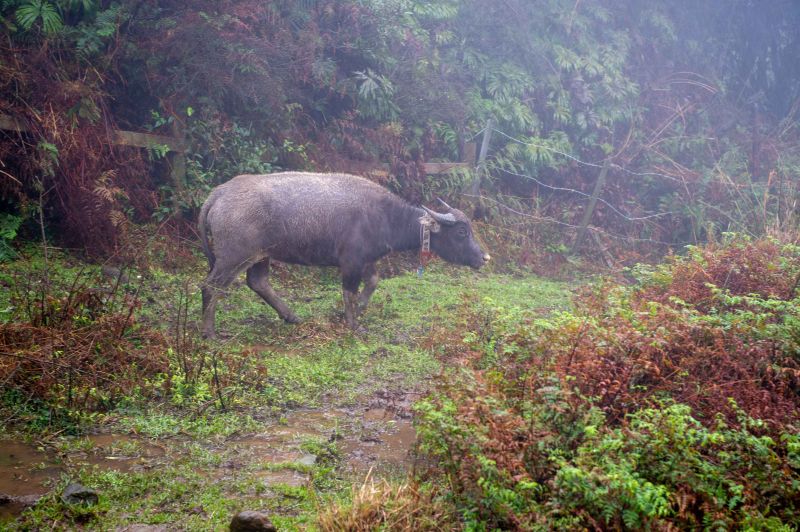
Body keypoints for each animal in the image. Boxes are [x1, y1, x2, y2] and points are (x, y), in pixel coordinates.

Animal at [198, 170, 488, 336]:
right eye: (461, 232)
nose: (484, 257)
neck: (384, 216)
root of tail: (218, 194)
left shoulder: (367, 260)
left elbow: (373, 283)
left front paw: (361, 309)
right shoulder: (351, 262)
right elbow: (349, 291)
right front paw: (353, 324)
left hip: (261, 255)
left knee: (257, 282)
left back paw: (291, 316)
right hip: (234, 256)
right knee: (211, 286)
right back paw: (209, 333)